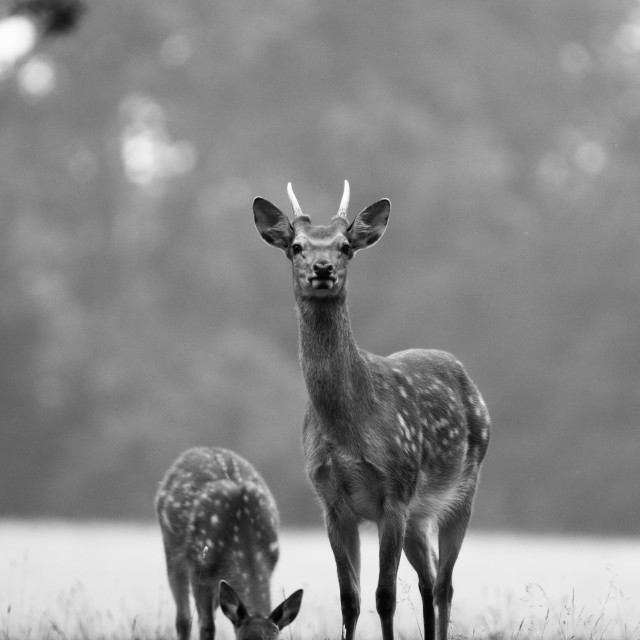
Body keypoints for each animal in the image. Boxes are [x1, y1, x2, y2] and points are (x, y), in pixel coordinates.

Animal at [156, 448, 304, 640]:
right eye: (242, 638)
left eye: (275, 638)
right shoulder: (200, 568)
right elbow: (207, 626)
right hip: (173, 549)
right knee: (183, 618)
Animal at [252, 180, 492, 640]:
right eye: (295, 246)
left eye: (346, 246)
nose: (322, 268)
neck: (347, 429)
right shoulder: (332, 502)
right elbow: (350, 599)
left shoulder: (394, 491)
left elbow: (385, 596)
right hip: (419, 515)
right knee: (429, 578)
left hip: (461, 490)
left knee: (445, 584)